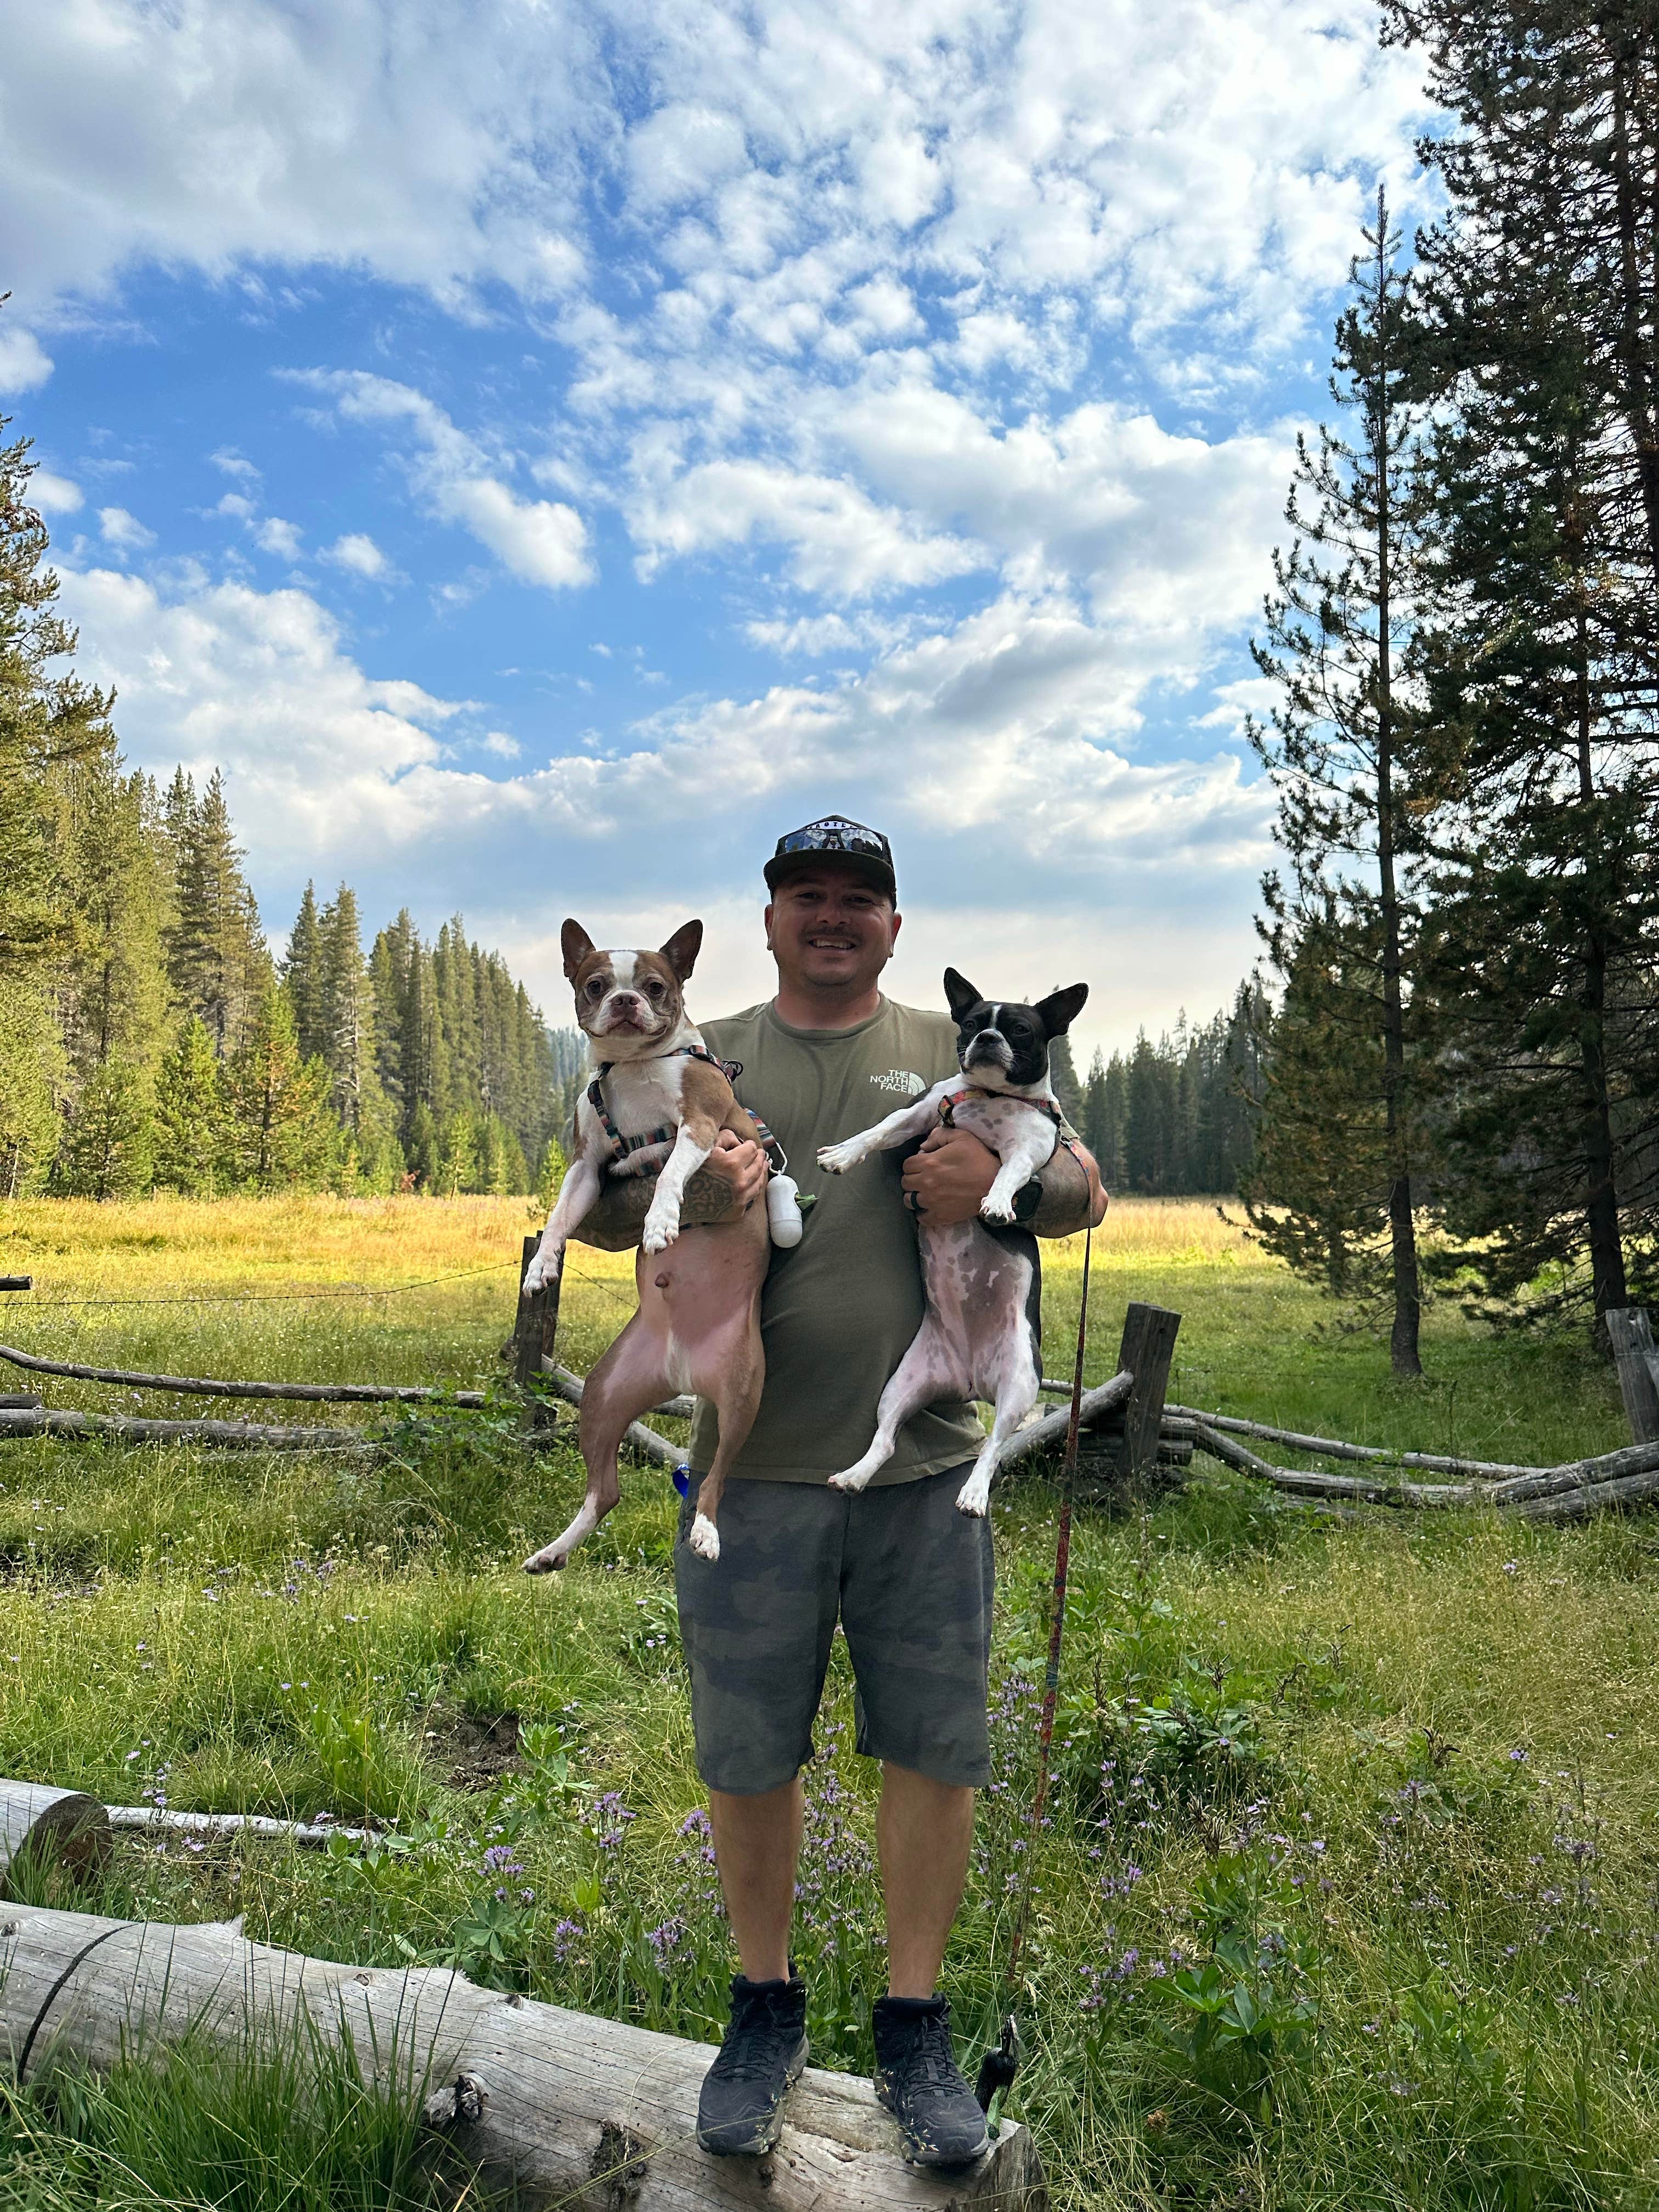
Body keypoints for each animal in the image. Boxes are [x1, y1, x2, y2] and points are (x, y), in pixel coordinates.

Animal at [520, 916, 774, 1575]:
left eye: (656, 986)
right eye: (596, 984)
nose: (626, 1001)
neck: (635, 1068)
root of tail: (683, 1374)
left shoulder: (703, 1127)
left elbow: (668, 1173)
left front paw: (661, 1223)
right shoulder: (586, 1168)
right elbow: (560, 1216)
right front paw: (542, 1267)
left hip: (744, 1395)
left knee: (717, 1478)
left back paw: (706, 1532)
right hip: (602, 1396)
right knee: (604, 1491)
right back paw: (555, 1551)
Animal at [818, 969, 1092, 1522]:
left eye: (1021, 1030)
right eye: (970, 1023)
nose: (986, 1038)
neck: (988, 1096)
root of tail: (969, 1379)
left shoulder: (1028, 1148)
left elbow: (1008, 1173)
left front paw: (998, 1203)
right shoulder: (916, 1117)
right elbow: (874, 1132)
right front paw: (842, 1155)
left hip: (1020, 1382)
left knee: (993, 1448)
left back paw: (973, 1494)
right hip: (902, 1385)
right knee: (885, 1440)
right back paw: (854, 1476)